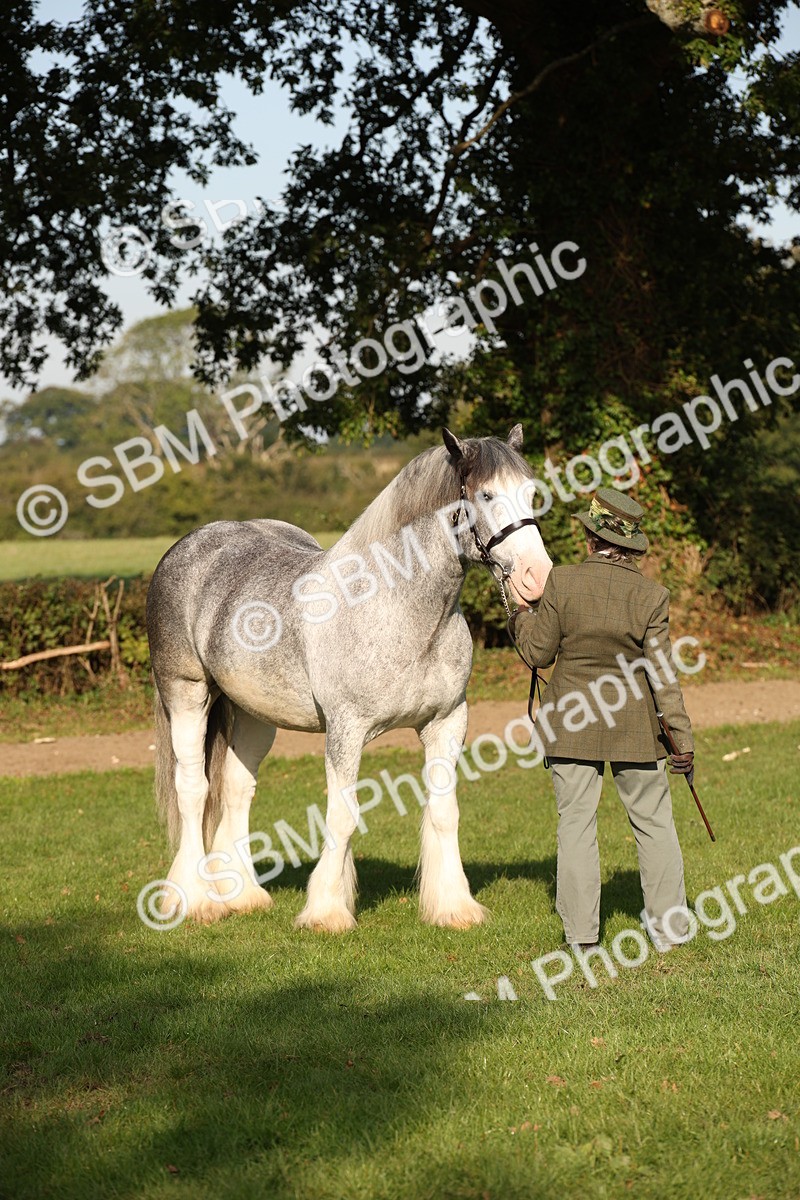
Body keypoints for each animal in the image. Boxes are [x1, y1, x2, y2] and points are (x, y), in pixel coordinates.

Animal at [146, 424, 553, 932]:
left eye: (531, 492)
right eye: (486, 494)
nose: (537, 577)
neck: (397, 608)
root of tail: (190, 545)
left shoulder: (446, 722)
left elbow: (445, 812)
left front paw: (454, 907)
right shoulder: (346, 729)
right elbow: (342, 815)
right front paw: (326, 911)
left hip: (255, 713)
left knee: (237, 789)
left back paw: (242, 895)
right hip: (185, 693)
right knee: (193, 790)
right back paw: (194, 899)